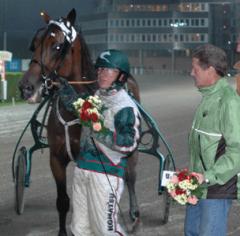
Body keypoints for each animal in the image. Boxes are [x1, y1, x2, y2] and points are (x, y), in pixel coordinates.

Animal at [18, 8, 141, 235]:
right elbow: (63, 201)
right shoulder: (56, 158)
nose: (27, 87)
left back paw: (135, 214)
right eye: (34, 44)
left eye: (57, 46)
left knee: (130, 175)